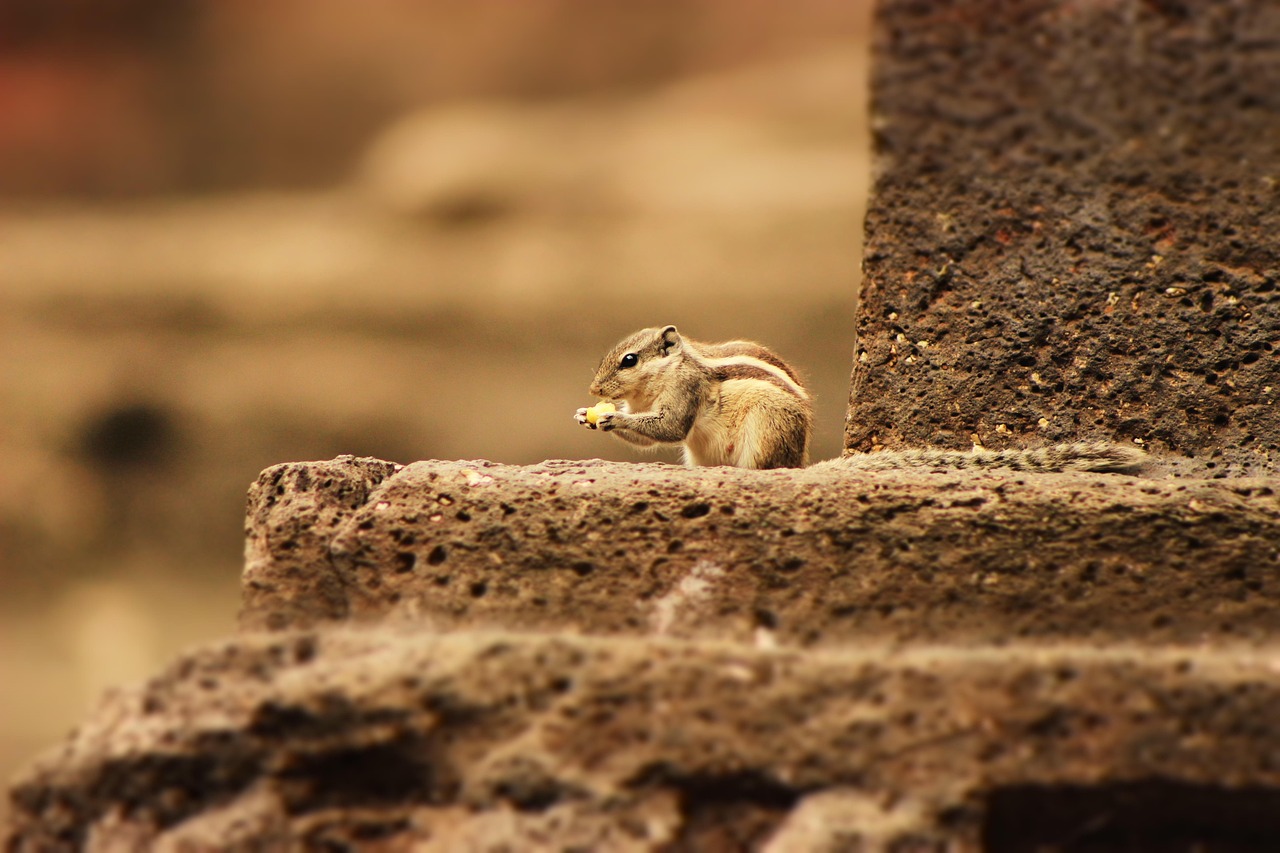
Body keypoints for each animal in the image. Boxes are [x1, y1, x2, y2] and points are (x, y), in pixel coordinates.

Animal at [575, 325, 1148, 475]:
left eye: (629, 361)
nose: (594, 391)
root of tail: (800, 459)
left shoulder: (684, 394)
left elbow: (669, 426)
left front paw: (605, 420)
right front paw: (588, 415)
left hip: (765, 433)